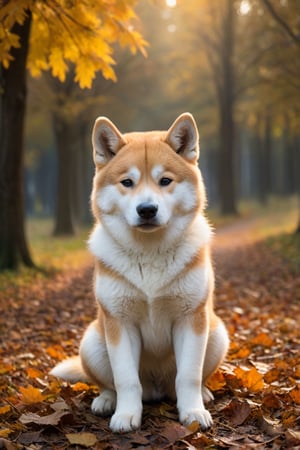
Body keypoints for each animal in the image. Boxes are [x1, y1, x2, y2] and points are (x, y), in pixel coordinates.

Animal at [51, 112, 230, 432]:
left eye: (165, 181)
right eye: (127, 182)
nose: (147, 209)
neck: (149, 256)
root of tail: (157, 389)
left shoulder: (191, 319)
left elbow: (189, 376)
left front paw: (193, 412)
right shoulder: (120, 323)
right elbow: (125, 380)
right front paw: (125, 415)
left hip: (216, 333)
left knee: (189, 379)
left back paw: (204, 394)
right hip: (92, 342)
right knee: (109, 384)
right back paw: (106, 401)